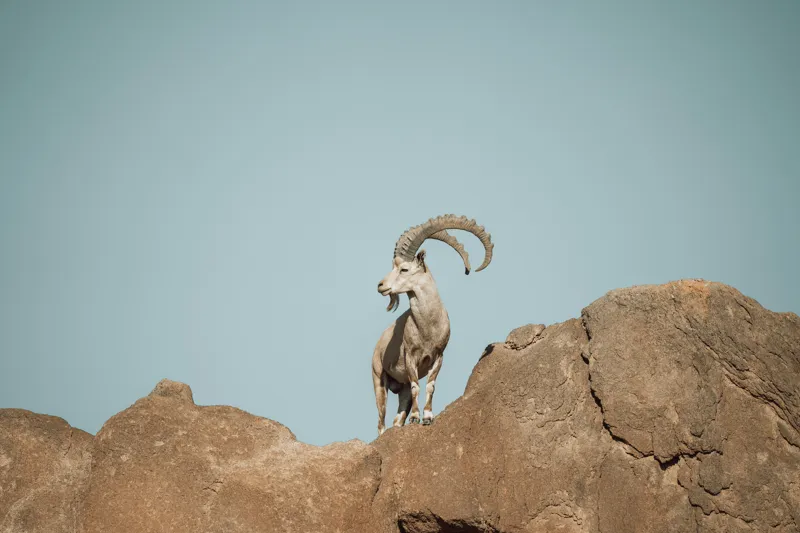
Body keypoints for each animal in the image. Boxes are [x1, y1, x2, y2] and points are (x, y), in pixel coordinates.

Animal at [372, 215, 493, 434]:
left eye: (404, 269)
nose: (381, 286)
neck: (427, 327)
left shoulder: (438, 356)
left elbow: (430, 386)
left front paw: (428, 417)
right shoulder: (410, 357)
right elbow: (416, 387)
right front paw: (415, 418)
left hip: (400, 388)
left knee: (397, 416)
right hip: (378, 380)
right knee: (381, 420)